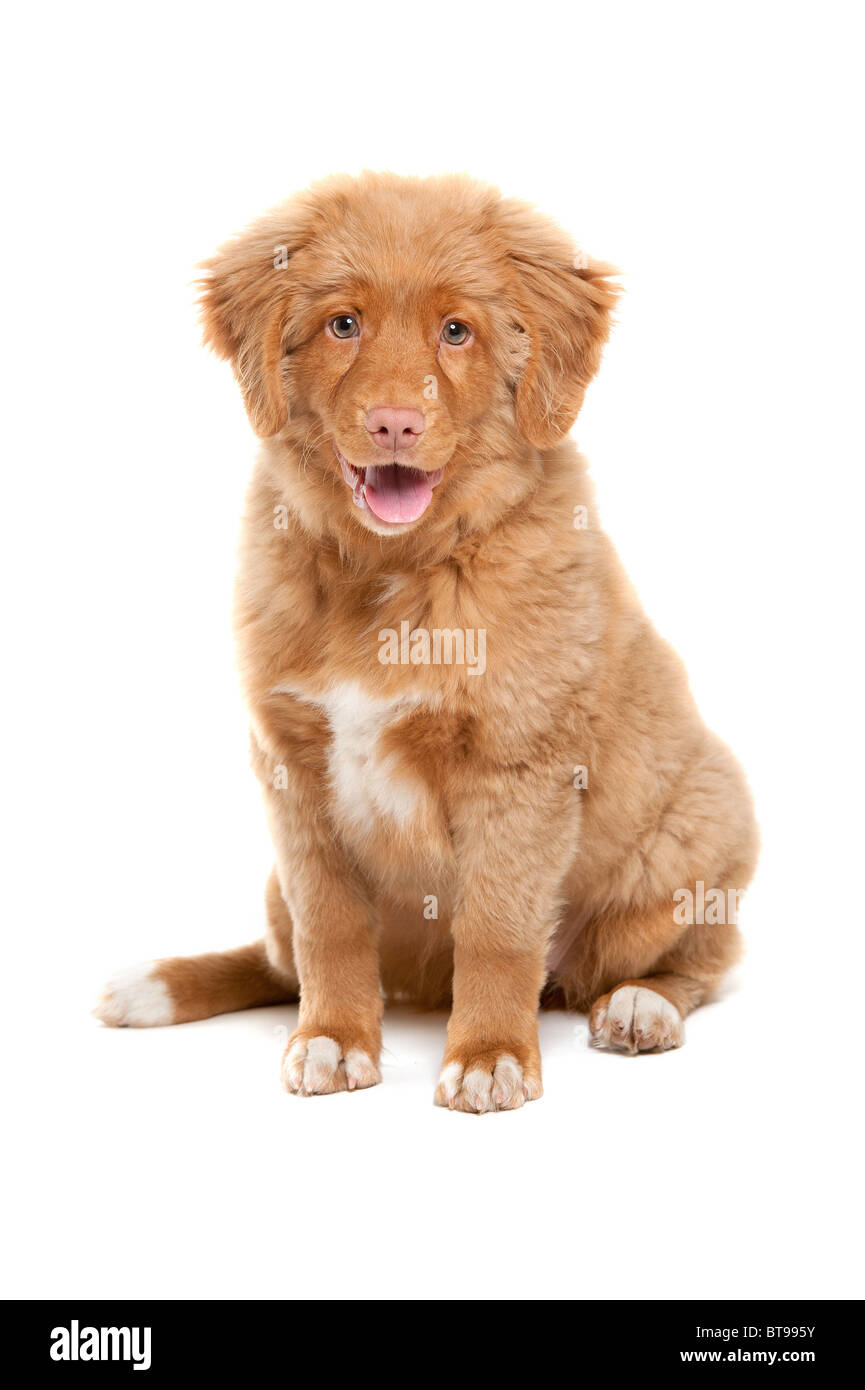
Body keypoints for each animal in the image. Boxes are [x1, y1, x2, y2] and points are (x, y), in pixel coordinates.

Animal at [94, 173, 756, 1112]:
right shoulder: (291, 766)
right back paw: (157, 986)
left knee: (695, 960)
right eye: (343, 324)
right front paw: (333, 1040)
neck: (390, 572)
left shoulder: (520, 768)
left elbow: (497, 931)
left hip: (694, 835)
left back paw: (641, 1007)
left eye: (456, 331)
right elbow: (327, 928)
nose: (395, 425)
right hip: (273, 884)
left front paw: (488, 1056)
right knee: (277, 958)